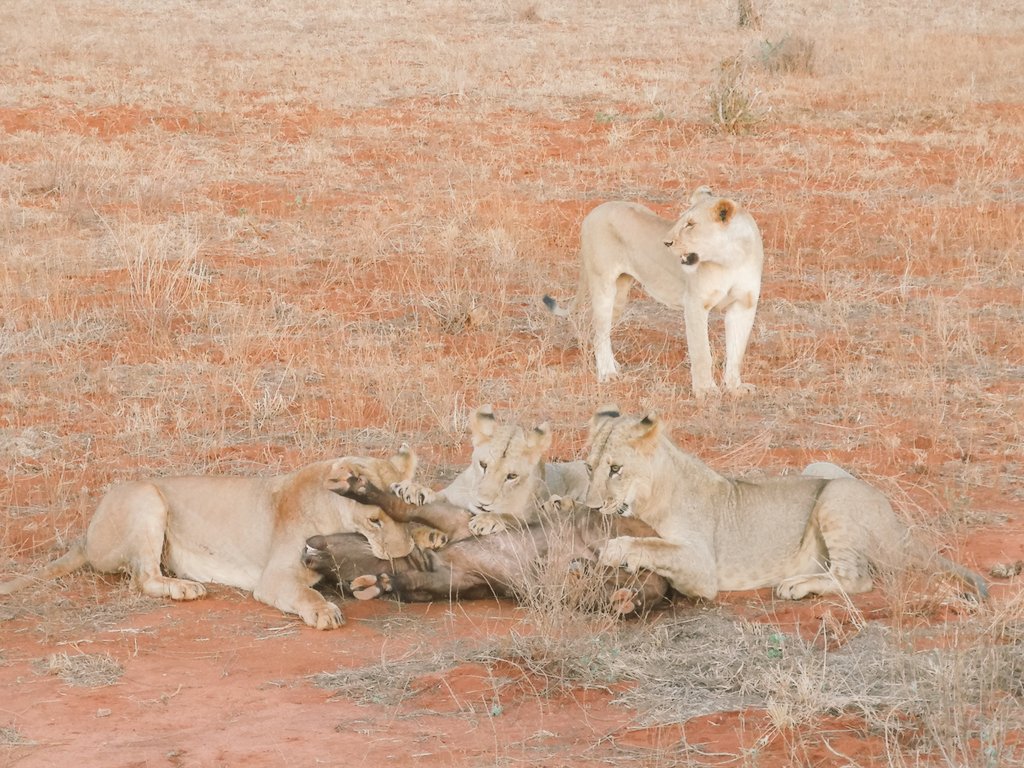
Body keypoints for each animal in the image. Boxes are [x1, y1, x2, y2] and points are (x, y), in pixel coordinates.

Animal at [0, 447, 422, 629]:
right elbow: (306, 593)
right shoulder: (275, 577)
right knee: (143, 578)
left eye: (407, 513)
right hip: (147, 498)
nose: (404, 553)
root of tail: (86, 536)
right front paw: (323, 611)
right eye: (375, 520)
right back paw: (184, 588)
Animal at [392, 404, 589, 536]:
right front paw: (412, 489)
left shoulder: (531, 517)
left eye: (512, 476)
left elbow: (511, 517)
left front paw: (486, 520)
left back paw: (559, 505)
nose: (482, 504)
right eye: (483, 465)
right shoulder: (453, 495)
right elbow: (437, 494)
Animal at [543, 187, 763, 398]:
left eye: (690, 224)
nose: (666, 243)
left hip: (620, 294)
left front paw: (735, 388)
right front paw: (706, 391)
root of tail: (594, 211)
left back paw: (611, 365)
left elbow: (736, 351)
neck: (731, 259)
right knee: (599, 331)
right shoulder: (695, 304)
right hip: (603, 282)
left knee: (598, 331)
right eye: (681, 221)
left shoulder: (744, 306)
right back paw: (607, 373)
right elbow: (702, 352)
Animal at [585, 407, 989, 601]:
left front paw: (617, 549)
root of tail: (900, 527)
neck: (651, 495)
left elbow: (654, 544)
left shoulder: (702, 570)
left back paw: (795, 586)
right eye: (589, 467)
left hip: (836, 496)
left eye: (616, 469)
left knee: (857, 579)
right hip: (819, 468)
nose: (590, 506)